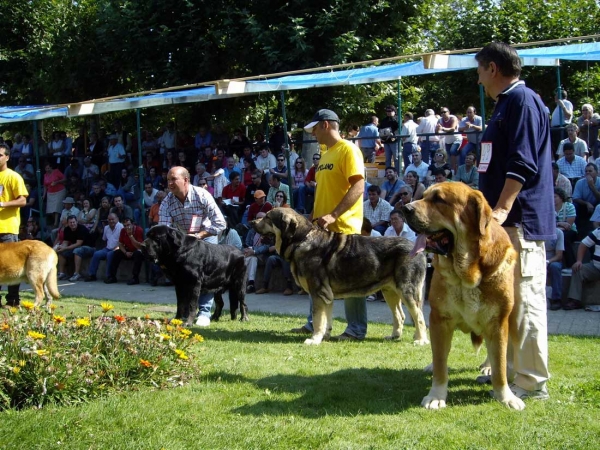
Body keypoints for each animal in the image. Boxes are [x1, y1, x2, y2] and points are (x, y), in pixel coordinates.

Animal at [251, 209, 428, 346]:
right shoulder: (326, 295)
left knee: (419, 316)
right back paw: (394, 336)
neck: (301, 239)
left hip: (407, 290)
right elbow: (326, 319)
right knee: (400, 315)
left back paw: (421, 340)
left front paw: (314, 339)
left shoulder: (318, 292)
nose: (252, 221)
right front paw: (324, 336)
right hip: (390, 291)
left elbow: (317, 319)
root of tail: (417, 249)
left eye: (268, 217)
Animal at [404, 183, 524, 412]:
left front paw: (505, 397)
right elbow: (441, 362)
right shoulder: (440, 319)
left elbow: (500, 364)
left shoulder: (498, 322)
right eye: (423, 196)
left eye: (439, 200)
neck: (467, 274)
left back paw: (487, 368)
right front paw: (436, 395)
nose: (405, 208)